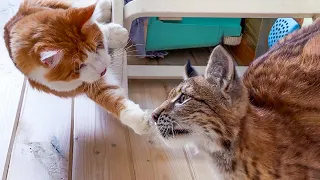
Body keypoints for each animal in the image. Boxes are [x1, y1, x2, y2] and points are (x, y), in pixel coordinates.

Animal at [3, 0, 151, 134]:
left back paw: (104, 6)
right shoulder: (83, 84)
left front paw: (117, 33)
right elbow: (109, 97)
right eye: (79, 67)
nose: (103, 70)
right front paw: (139, 120)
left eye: (97, 47)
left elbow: (100, 28)